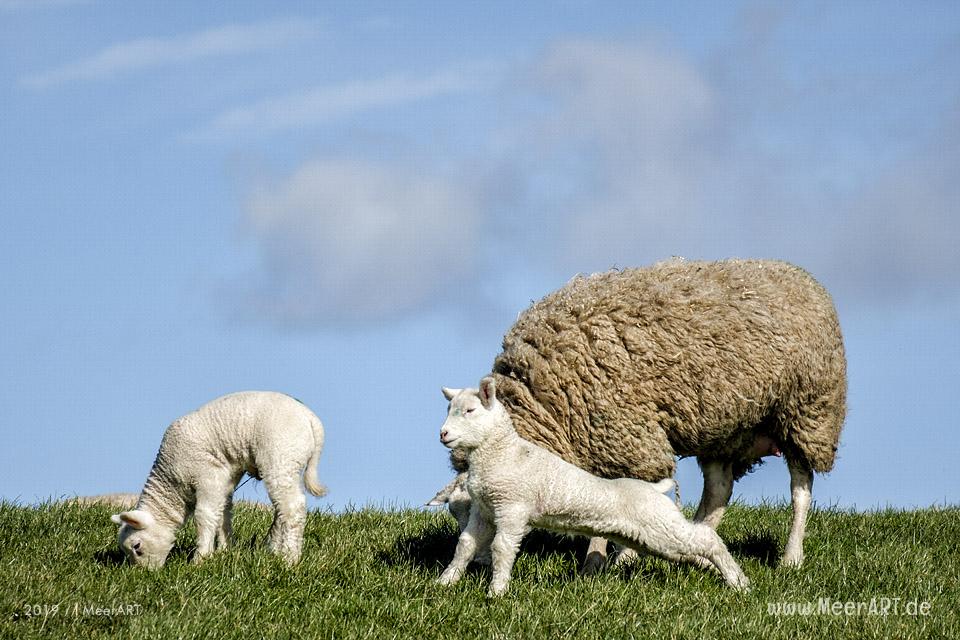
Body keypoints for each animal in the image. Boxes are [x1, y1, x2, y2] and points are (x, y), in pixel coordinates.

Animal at [112, 392, 326, 568]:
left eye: (137, 547)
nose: (145, 573)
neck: (172, 483)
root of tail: (311, 419)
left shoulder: (207, 475)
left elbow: (204, 515)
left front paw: (200, 559)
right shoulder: (226, 478)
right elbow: (223, 514)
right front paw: (225, 550)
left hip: (281, 456)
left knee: (293, 507)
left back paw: (290, 558)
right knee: (282, 508)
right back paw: (273, 549)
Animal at [436, 258, 848, 568]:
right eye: (458, 513)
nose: (478, 563)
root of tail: (798, 274)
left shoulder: (632, 442)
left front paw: (617, 558)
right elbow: (601, 500)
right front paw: (597, 563)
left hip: (808, 411)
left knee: (800, 489)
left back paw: (790, 558)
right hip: (725, 427)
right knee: (718, 492)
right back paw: (696, 546)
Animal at [436, 378, 752, 596]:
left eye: (470, 410)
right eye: (449, 409)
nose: (443, 434)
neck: (502, 452)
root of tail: (655, 489)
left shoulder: (512, 508)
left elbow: (502, 548)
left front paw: (497, 591)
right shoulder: (484, 509)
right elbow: (464, 545)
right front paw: (445, 582)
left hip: (659, 524)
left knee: (706, 539)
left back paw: (739, 582)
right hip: (651, 538)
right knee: (692, 549)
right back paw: (726, 574)